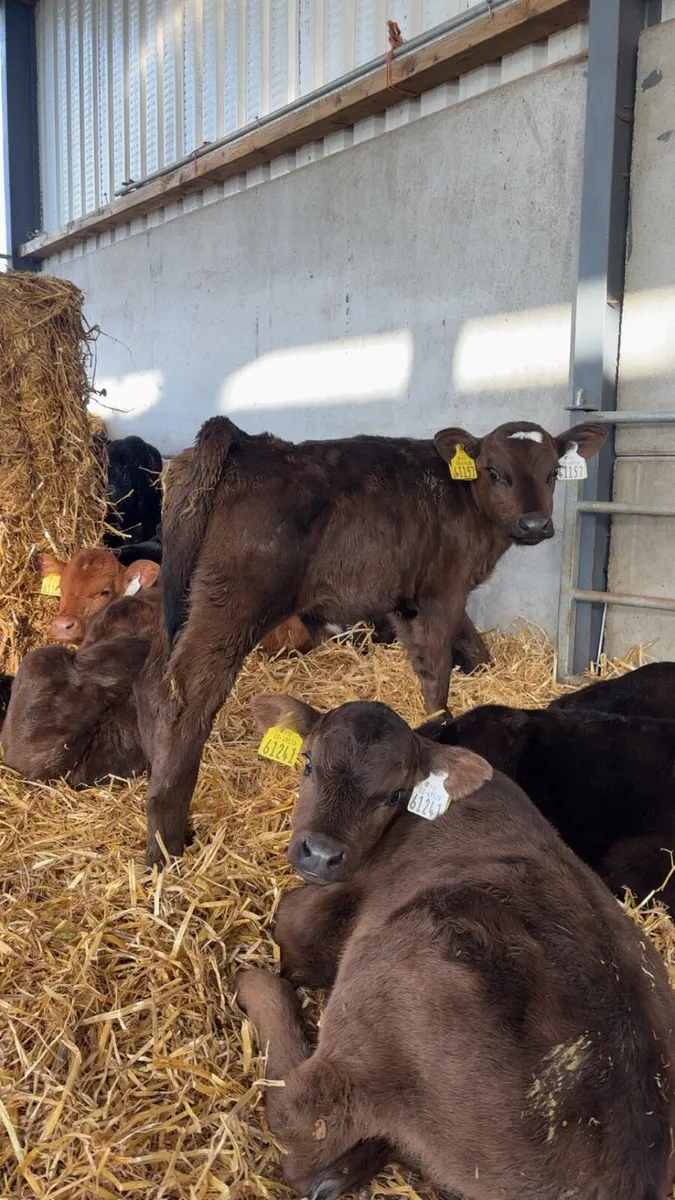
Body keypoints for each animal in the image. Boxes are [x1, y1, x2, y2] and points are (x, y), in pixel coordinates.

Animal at [137, 415, 606, 864]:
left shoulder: (411, 598)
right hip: (233, 603)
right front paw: (440, 723)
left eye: (553, 472)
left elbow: (467, 643)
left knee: (154, 683)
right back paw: (166, 845)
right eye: (494, 471)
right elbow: (436, 669)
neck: (464, 499)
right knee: (184, 702)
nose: (535, 524)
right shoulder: (442, 589)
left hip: (179, 604)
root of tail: (246, 442)